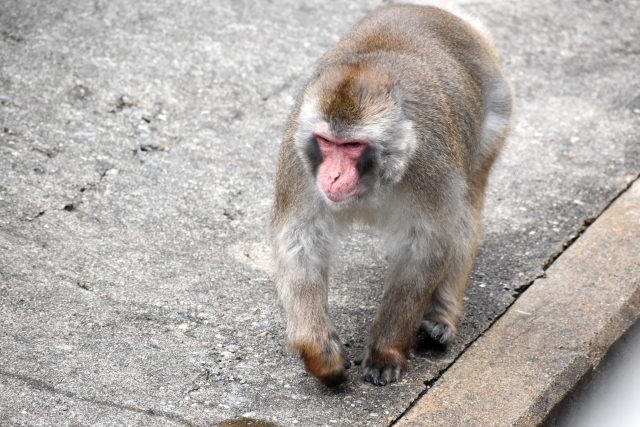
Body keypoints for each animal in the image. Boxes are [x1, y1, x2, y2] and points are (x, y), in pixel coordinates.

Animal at [270, 3, 516, 386]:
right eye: (326, 141)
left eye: (353, 145)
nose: (332, 175)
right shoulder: (299, 162)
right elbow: (300, 241)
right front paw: (319, 350)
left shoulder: (430, 163)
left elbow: (425, 247)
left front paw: (386, 349)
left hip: (496, 113)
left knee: (464, 213)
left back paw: (440, 317)